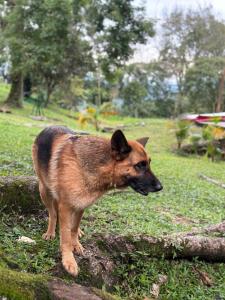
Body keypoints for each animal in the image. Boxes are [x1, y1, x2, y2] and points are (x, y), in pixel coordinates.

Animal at [32, 125, 162, 276]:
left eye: (148, 164)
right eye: (140, 165)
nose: (160, 187)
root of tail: (49, 127)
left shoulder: (81, 204)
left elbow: (73, 228)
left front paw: (76, 243)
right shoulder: (65, 206)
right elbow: (65, 237)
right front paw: (68, 260)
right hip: (44, 191)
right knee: (52, 214)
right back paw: (50, 232)